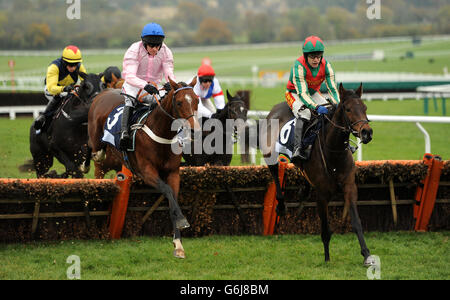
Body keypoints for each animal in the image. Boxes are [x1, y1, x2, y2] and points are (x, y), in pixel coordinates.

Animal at [87, 77, 200, 258]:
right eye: (180, 102)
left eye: (197, 100)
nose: (195, 131)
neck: (161, 134)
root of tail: (104, 92)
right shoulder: (146, 171)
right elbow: (167, 190)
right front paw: (182, 222)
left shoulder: (173, 173)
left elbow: (173, 199)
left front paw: (178, 244)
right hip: (98, 147)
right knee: (97, 160)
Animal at [260, 83, 376, 266]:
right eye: (348, 109)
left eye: (365, 108)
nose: (367, 132)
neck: (334, 153)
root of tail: (275, 109)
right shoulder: (322, 194)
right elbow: (325, 229)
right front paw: (327, 257)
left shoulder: (350, 186)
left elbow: (356, 222)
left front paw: (366, 255)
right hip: (269, 153)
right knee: (275, 173)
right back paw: (281, 205)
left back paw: (304, 192)